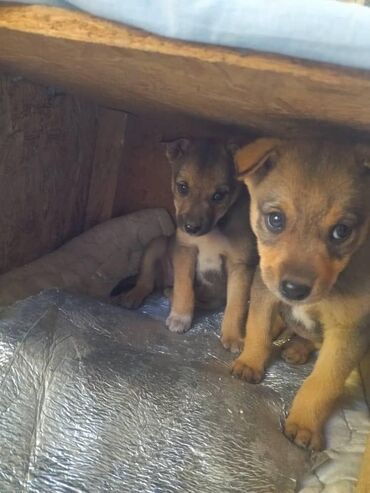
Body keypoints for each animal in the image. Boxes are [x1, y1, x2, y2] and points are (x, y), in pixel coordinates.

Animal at [112, 137, 258, 350]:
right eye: (182, 187)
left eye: (219, 195)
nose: (191, 228)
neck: (213, 231)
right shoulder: (185, 251)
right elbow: (184, 287)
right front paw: (180, 317)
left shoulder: (240, 265)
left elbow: (236, 304)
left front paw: (233, 336)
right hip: (156, 245)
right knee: (146, 281)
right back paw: (133, 295)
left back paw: (169, 292)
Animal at [231, 137, 370, 450]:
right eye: (275, 219)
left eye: (342, 231)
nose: (294, 290)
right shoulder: (265, 290)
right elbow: (257, 329)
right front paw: (250, 361)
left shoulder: (349, 331)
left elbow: (323, 382)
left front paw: (305, 424)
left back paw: (296, 348)